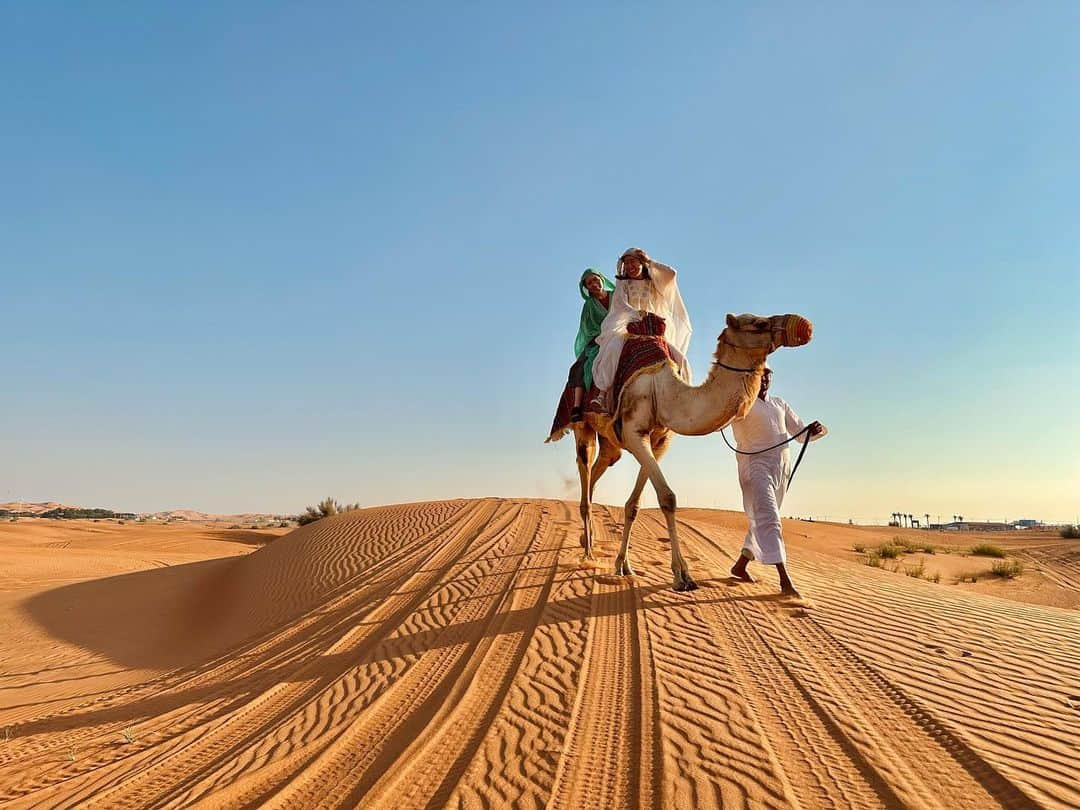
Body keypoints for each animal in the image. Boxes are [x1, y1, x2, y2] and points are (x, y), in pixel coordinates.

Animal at [565, 311, 812, 591]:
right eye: (758, 323)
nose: (804, 325)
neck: (662, 391)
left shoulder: (659, 440)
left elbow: (634, 505)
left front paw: (624, 565)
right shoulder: (633, 432)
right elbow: (668, 497)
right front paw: (682, 575)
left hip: (611, 441)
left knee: (600, 467)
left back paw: (588, 540)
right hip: (583, 426)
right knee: (584, 466)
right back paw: (587, 553)